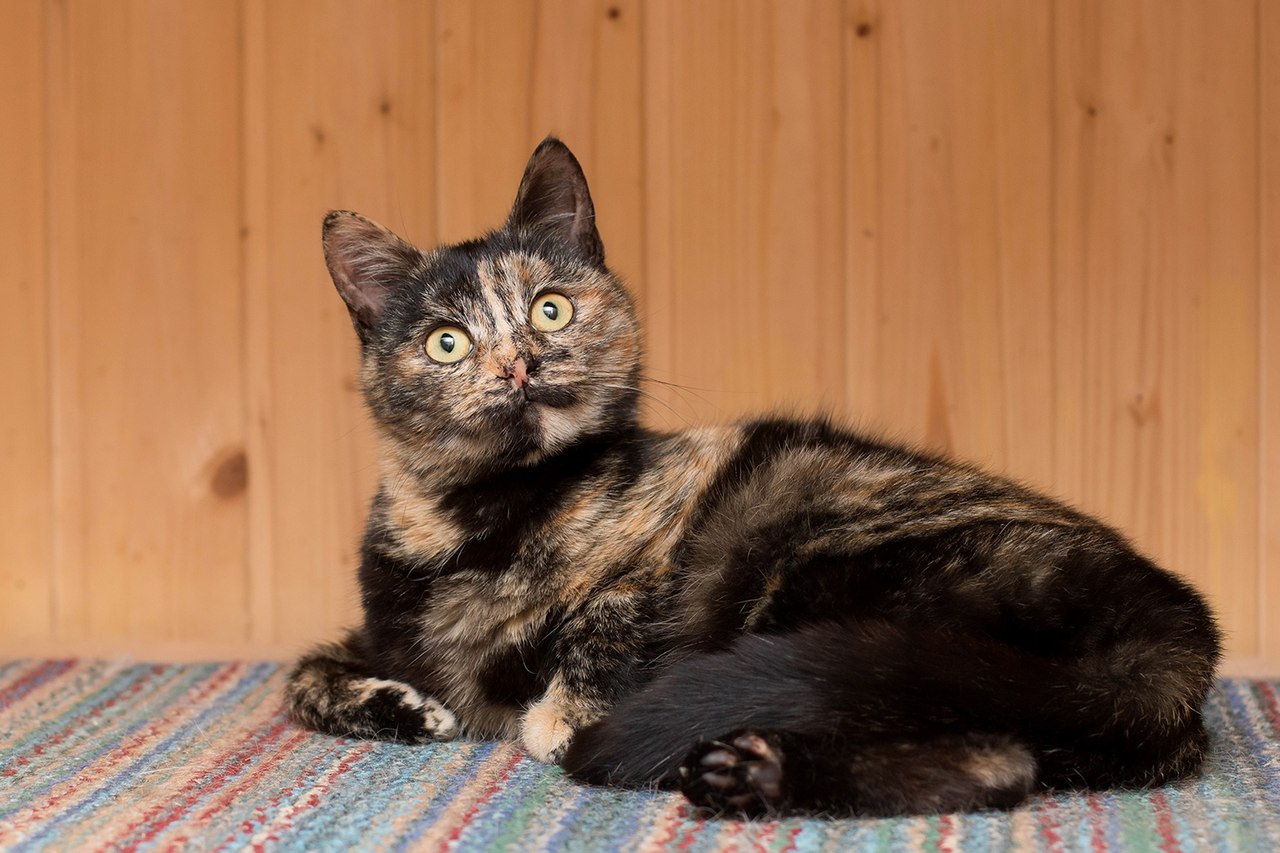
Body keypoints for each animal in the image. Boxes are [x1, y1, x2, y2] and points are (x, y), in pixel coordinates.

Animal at [285, 136, 1221, 818]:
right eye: (447, 341)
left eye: (551, 307)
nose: (521, 363)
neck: (486, 514)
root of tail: (1175, 627)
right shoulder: (383, 627)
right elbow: (299, 675)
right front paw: (401, 705)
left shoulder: (666, 540)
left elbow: (604, 622)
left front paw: (559, 717)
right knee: (1004, 761)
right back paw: (750, 774)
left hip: (807, 557)